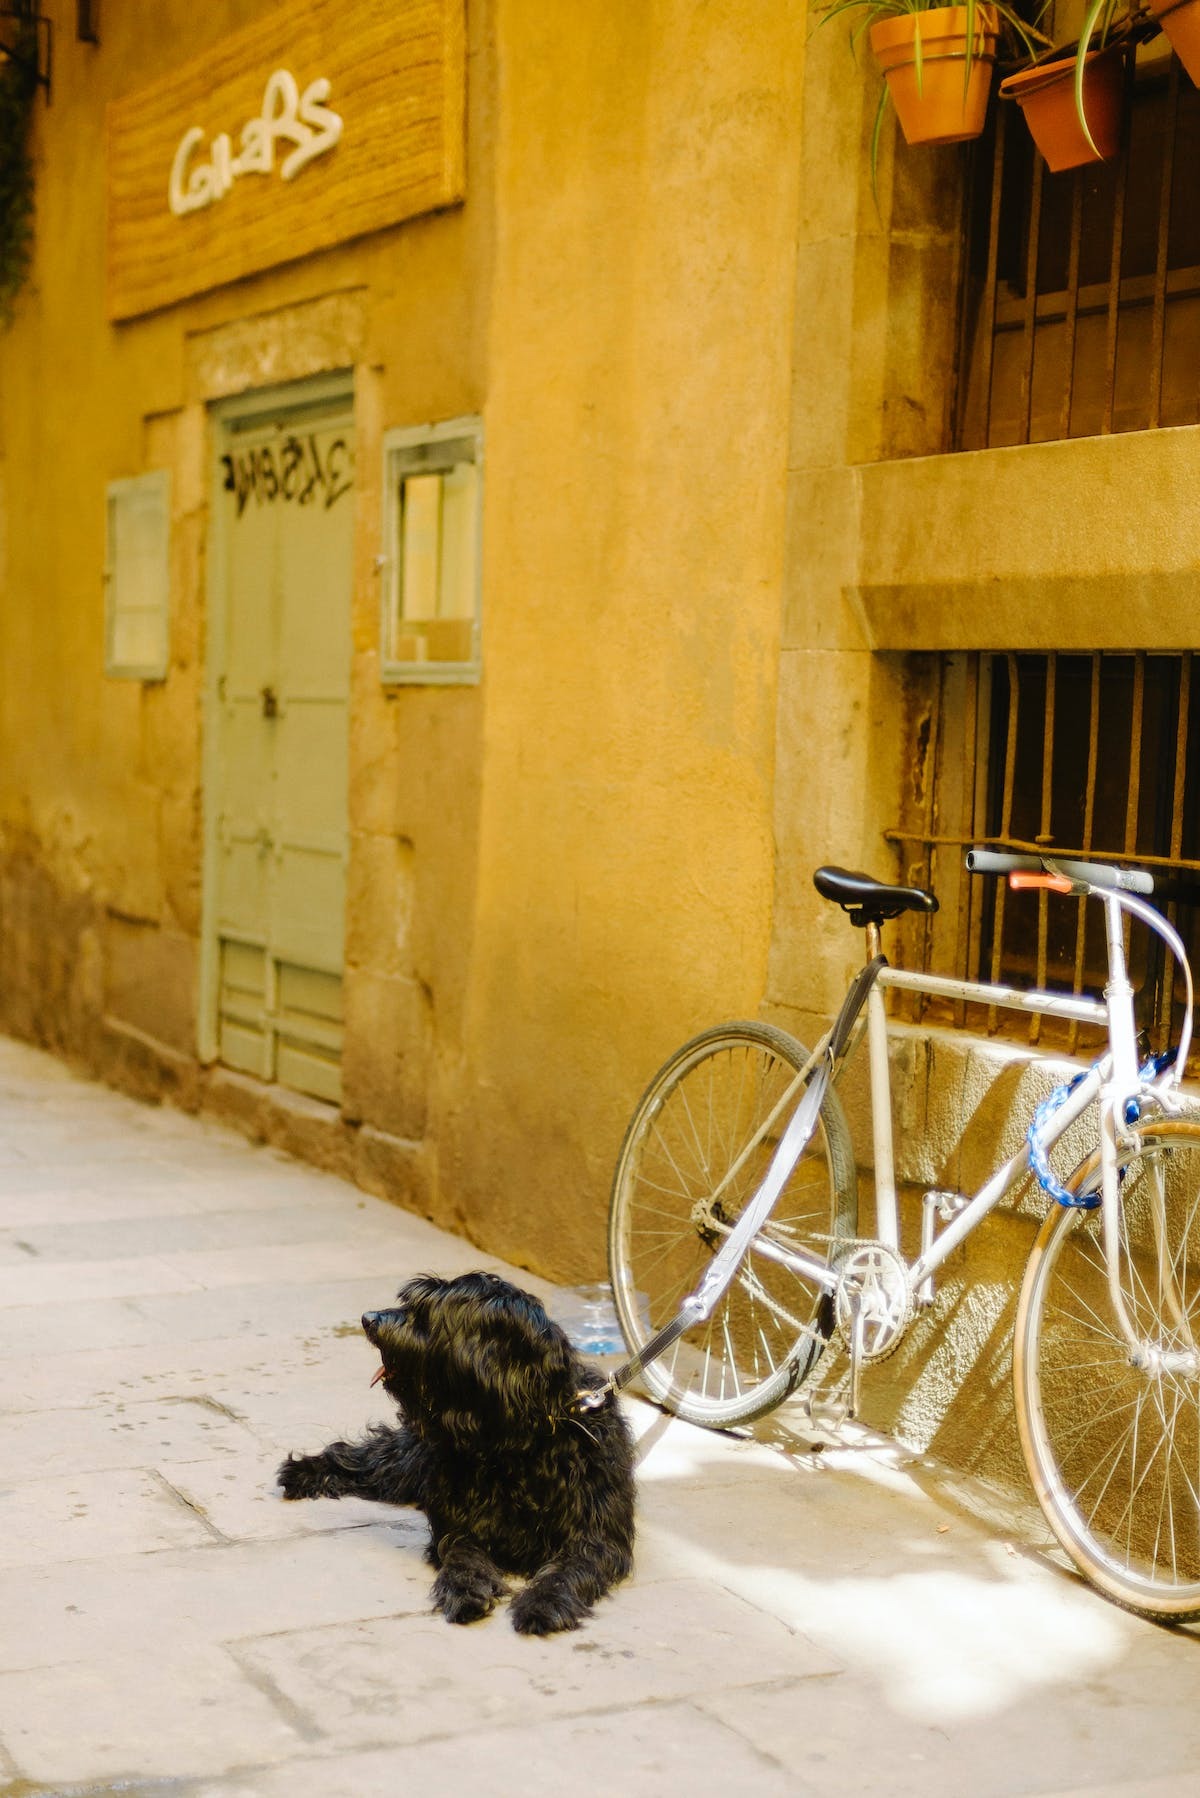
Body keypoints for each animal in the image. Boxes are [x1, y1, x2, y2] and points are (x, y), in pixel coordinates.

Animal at [278, 1272, 636, 1639]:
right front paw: (465, 1590)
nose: (368, 1318)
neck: (512, 1446)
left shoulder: (596, 1535)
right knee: (363, 1457)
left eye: (426, 1316)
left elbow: (568, 1571)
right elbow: (463, 1555)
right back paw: (301, 1471)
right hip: (405, 1461)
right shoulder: (462, 1524)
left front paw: (544, 1603)